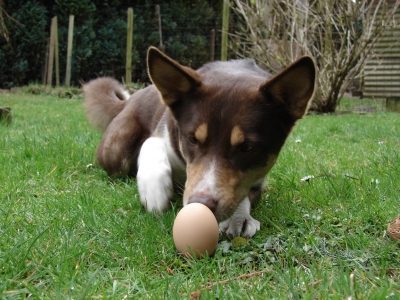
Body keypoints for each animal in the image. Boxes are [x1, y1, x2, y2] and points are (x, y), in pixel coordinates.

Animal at [83, 47, 316, 238]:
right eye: (193, 139)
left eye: (247, 147)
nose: (201, 204)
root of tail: (132, 97)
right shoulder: (165, 129)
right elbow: (152, 143)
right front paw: (154, 190)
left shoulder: (258, 178)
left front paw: (239, 217)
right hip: (116, 152)